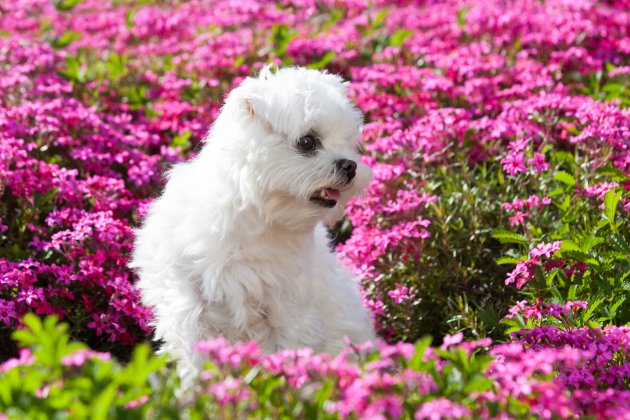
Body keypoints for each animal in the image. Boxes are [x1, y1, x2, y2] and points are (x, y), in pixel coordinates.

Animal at [130, 65, 376, 384]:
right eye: (307, 141)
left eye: (348, 142)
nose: (350, 165)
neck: (255, 217)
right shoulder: (188, 303)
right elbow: (196, 357)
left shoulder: (288, 305)